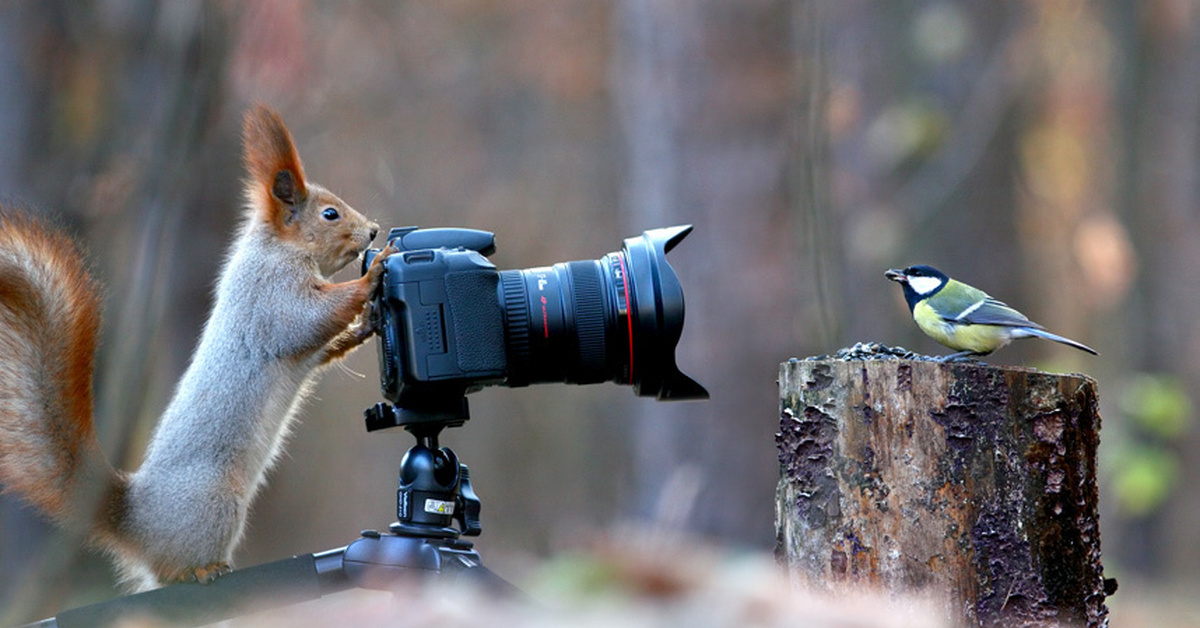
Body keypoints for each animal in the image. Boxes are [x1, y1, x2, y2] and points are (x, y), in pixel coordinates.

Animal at [0, 103, 400, 590]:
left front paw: (367, 324)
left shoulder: (300, 339)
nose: (374, 231)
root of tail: (136, 523)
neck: (277, 248)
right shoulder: (270, 296)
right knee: (174, 570)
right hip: (216, 503)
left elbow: (322, 347)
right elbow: (306, 321)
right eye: (329, 215)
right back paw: (204, 569)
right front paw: (374, 273)